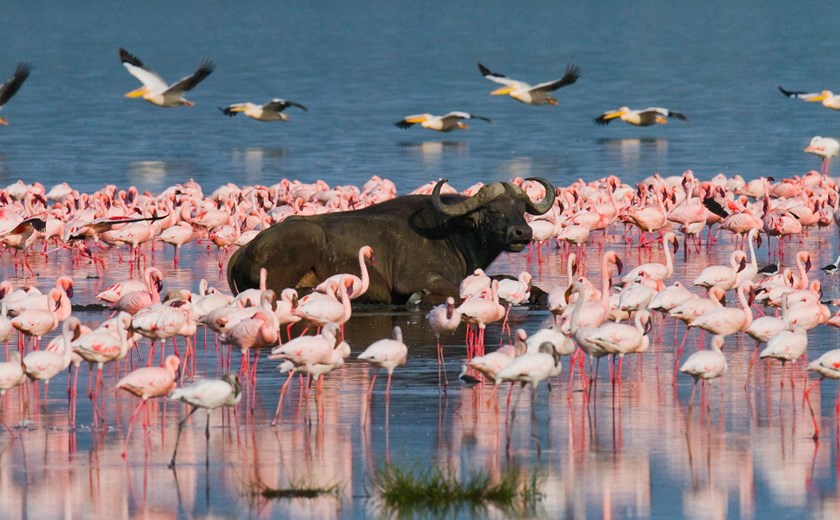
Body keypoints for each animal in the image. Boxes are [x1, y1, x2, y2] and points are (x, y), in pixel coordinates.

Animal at [227, 178, 555, 304]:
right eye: (495, 210)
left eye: (521, 209)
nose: (523, 234)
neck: (451, 233)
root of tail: (244, 250)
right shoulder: (416, 279)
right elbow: (457, 292)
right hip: (307, 238)